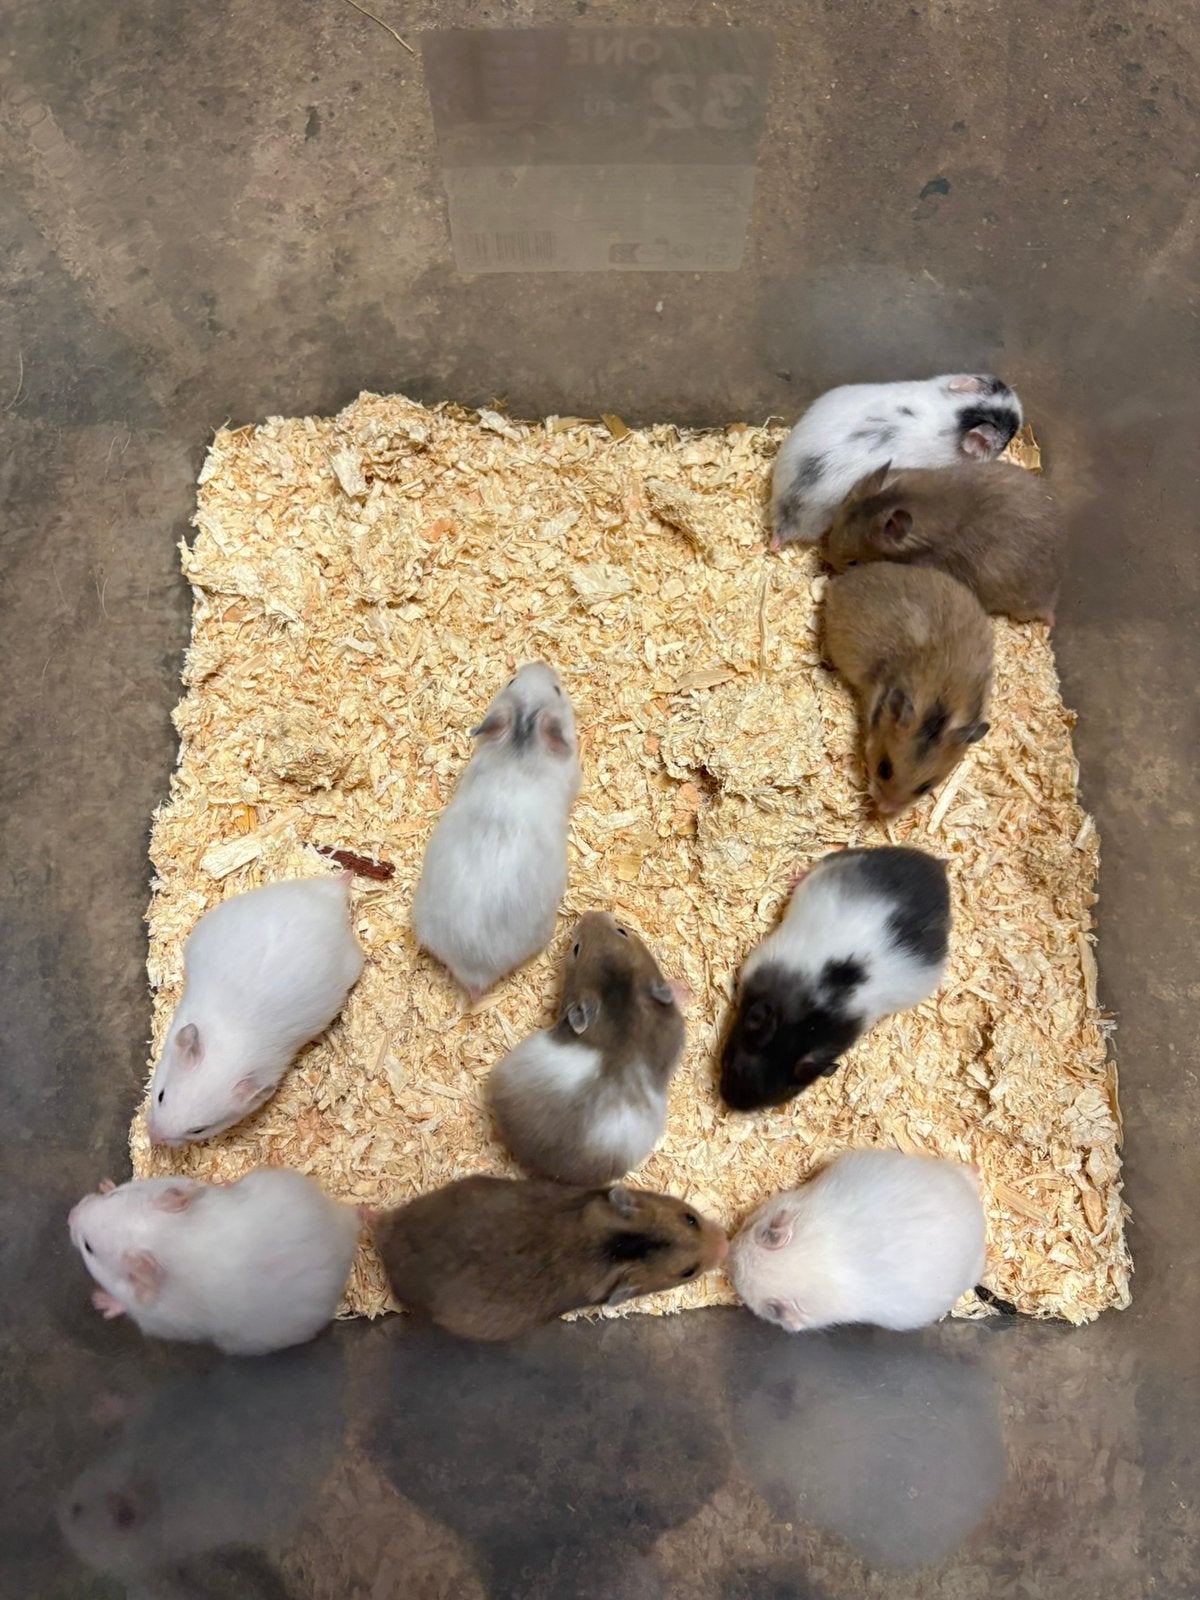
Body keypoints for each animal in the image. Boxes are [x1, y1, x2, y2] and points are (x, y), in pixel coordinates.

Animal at [67, 1169, 360, 1355]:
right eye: (113, 1197)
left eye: (89, 1247)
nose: (70, 1213)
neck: (171, 1241)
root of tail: (346, 1234)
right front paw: (105, 1183)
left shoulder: (155, 1320)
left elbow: (123, 1306)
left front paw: (100, 1302)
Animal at [720, 847, 949, 1112]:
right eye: (728, 1065)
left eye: (768, 1103)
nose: (728, 1103)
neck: (803, 1026)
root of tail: (936, 868)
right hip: (840, 860)